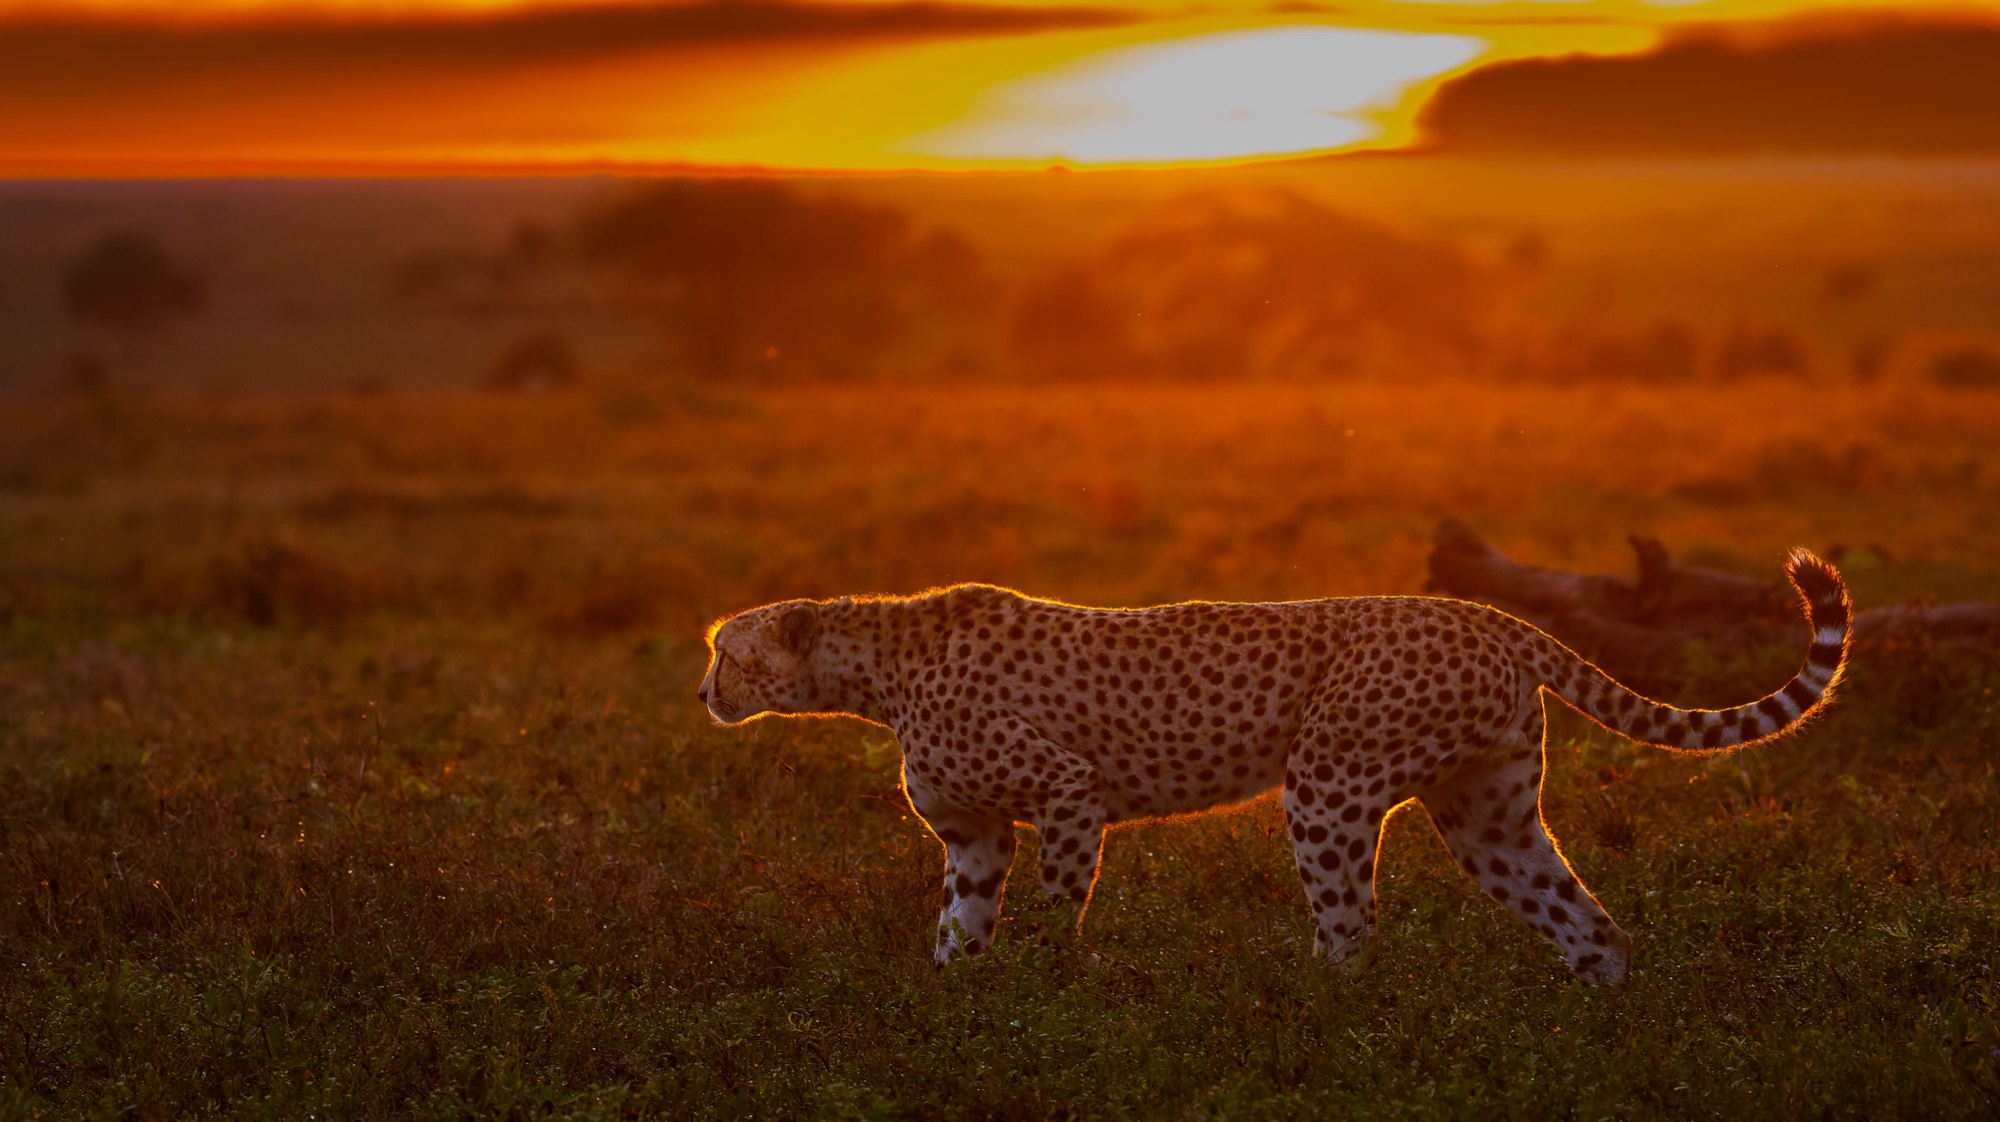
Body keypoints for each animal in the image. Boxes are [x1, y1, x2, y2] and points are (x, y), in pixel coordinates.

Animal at [697, 549, 1849, 985]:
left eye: (727, 651)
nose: (703, 693)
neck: (875, 665)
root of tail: (1484, 610)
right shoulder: (974, 839)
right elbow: (956, 933)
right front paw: (957, 1012)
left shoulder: (1068, 797)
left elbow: (1050, 915)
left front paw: (1048, 994)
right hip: (1487, 814)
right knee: (1588, 923)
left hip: (1327, 786)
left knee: (1350, 931)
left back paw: (1318, 1022)